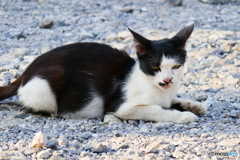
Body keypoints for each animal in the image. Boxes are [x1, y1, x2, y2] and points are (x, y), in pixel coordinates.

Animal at [0, 22, 206, 123]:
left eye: (176, 67)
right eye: (155, 67)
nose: (168, 80)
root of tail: (26, 71)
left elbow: (172, 100)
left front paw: (194, 105)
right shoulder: (119, 106)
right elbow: (155, 109)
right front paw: (184, 116)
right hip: (53, 77)